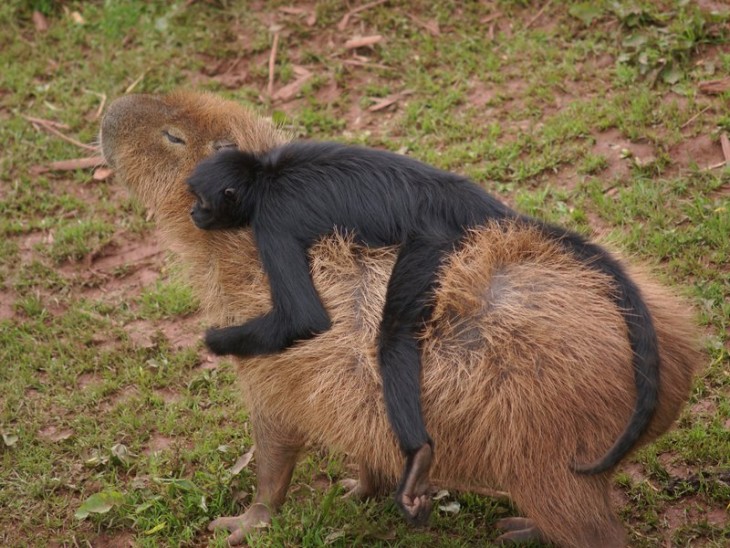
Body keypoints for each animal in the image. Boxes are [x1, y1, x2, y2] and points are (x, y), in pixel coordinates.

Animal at [186, 139, 660, 524]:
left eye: (201, 200)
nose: (193, 212)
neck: (266, 174)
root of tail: (456, 194)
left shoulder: (271, 224)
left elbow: (304, 318)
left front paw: (217, 340)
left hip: (430, 243)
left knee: (393, 338)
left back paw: (418, 457)